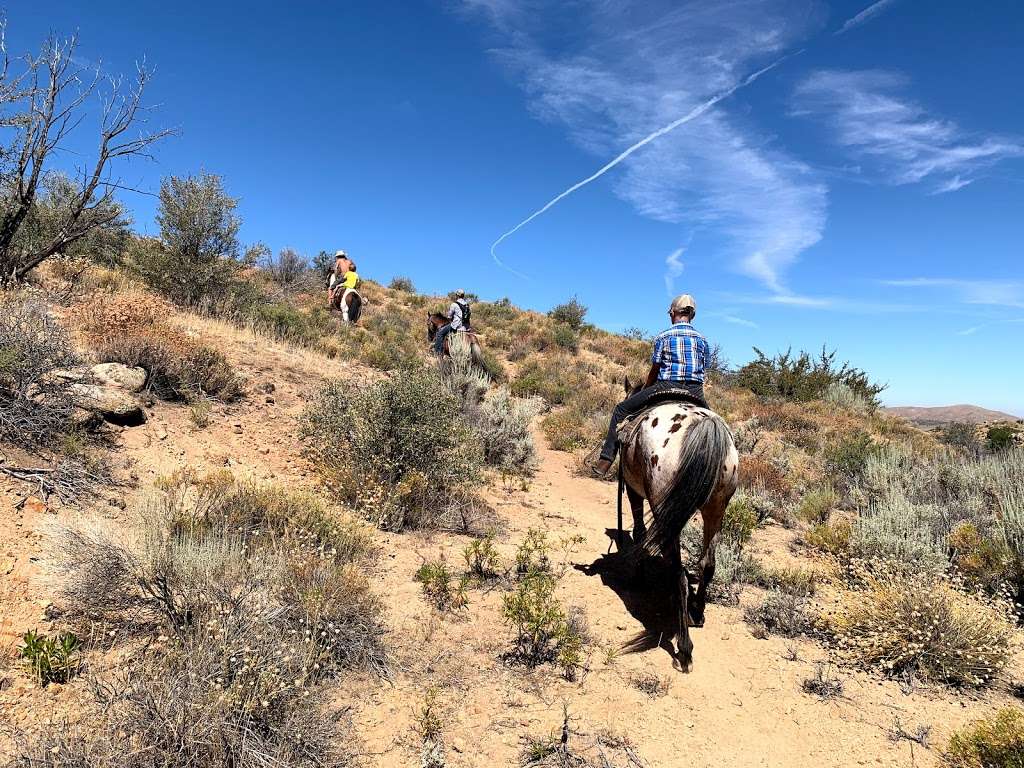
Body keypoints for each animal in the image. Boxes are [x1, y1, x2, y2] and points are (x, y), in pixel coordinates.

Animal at [614, 378, 737, 671]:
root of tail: (705, 425)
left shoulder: (634, 492)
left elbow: (639, 532)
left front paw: (637, 577)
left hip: (664, 508)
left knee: (678, 573)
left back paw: (684, 648)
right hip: (717, 508)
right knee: (707, 564)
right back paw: (697, 613)